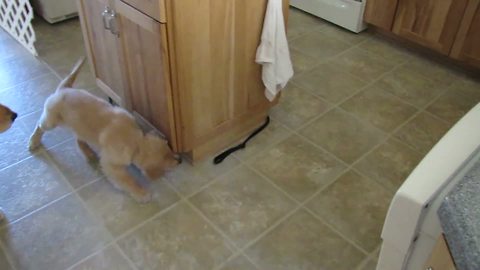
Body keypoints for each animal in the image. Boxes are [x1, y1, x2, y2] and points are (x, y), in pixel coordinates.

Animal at [29, 59, 181, 202]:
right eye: (168, 161)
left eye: (170, 151)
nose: (179, 160)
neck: (135, 141)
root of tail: (62, 89)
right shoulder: (110, 164)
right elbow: (128, 180)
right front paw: (141, 193)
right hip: (50, 120)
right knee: (39, 125)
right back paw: (33, 141)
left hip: (79, 126)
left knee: (79, 138)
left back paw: (88, 152)